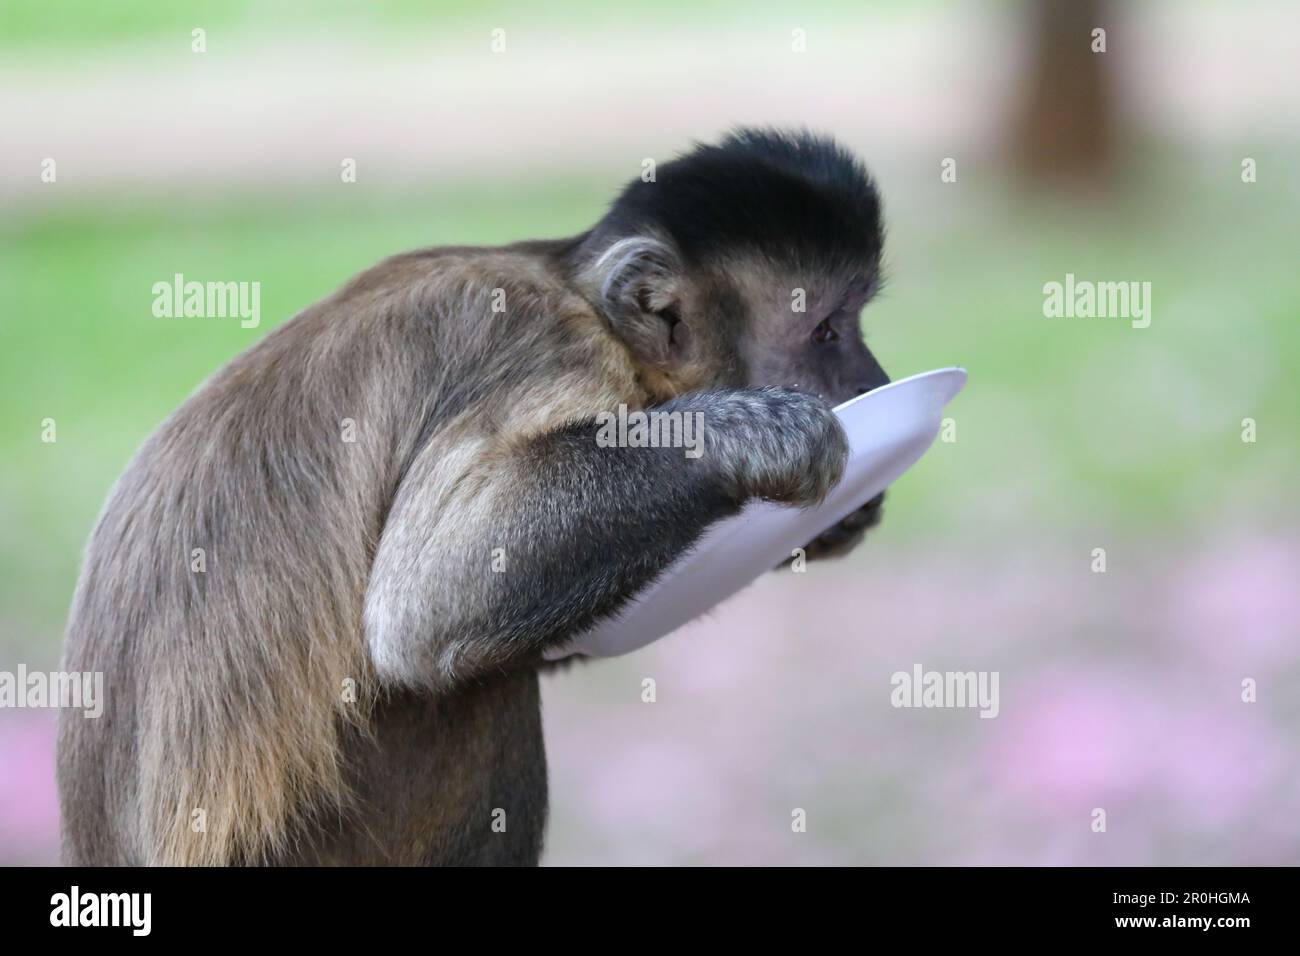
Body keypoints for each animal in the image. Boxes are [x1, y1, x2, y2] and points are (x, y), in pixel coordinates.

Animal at [61, 127, 894, 868]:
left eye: (854, 323)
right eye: (827, 331)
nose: (875, 381)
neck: (579, 298)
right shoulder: (541, 346)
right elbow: (425, 607)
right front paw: (763, 436)